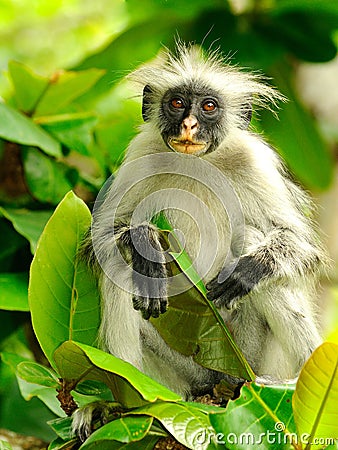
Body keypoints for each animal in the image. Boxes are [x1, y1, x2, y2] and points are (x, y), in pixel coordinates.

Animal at [72, 43, 326, 442]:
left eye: (208, 106)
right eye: (177, 103)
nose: (189, 125)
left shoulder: (253, 162)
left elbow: (299, 245)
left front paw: (253, 268)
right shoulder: (140, 156)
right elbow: (101, 240)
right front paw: (145, 243)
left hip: (253, 358)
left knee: (251, 237)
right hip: (180, 374)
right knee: (120, 265)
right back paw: (121, 406)